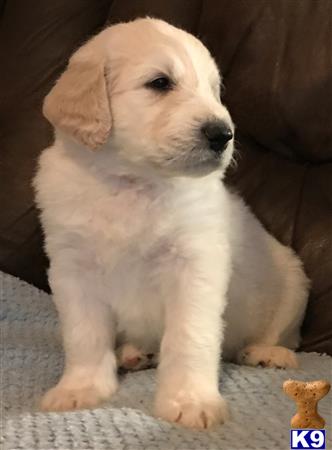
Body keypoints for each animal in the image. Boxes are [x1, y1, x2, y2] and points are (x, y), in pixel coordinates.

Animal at [34, 17, 308, 428]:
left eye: (213, 90)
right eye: (160, 83)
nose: (223, 134)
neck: (132, 181)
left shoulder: (194, 266)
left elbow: (189, 338)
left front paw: (191, 401)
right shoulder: (72, 269)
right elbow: (83, 335)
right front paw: (79, 389)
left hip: (294, 284)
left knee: (284, 336)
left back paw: (267, 353)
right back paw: (134, 353)